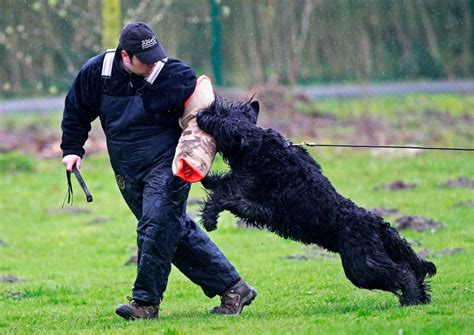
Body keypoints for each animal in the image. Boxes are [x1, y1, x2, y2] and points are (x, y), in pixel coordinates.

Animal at [196, 98, 436, 308]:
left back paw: (410, 299)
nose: (199, 114)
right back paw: (420, 299)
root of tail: (376, 223)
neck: (256, 146)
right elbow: (219, 183)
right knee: (411, 269)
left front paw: (209, 219)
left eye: (221, 114)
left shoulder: (259, 206)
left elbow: (224, 196)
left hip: (362, 267)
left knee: (402, 272)